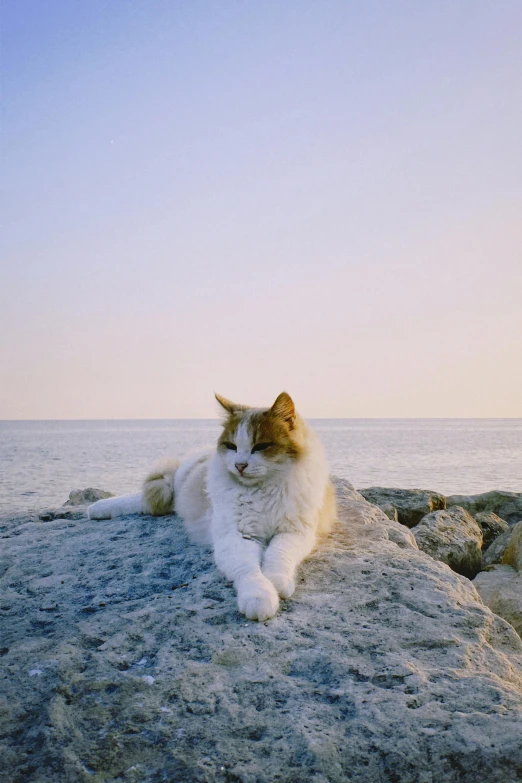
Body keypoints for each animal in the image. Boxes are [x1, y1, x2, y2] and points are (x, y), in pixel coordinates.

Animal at [88, 396, 336, 620]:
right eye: (232, 446)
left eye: (261, 447)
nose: (240, 465)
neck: (262, 490)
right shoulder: (236, 537)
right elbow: (249, 572)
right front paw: (260, 599)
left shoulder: (294, 532)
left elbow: (279, 556)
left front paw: (277, 582)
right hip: (173, 490)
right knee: (142, 500)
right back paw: (97, 508)